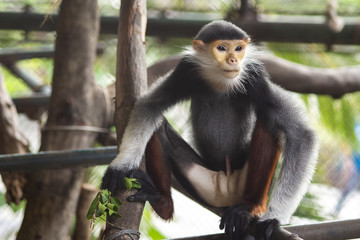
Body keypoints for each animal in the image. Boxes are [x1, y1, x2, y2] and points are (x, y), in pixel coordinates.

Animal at [102, 21, 318, 240]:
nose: (233, 59)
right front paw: (121, 166)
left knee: (270, 119)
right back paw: (161, 200)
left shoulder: (256, 78)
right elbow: (149, 106)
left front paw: (274, 218)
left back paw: (250, 208)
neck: (220, 81)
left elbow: (302, 135)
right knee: (158, 124)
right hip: (205, 184)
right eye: (221, 48)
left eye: (238, 48)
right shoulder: (185, 70)